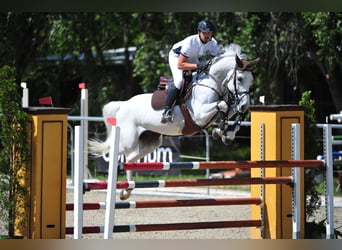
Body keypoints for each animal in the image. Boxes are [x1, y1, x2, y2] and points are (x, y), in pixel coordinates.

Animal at [89, 43, 258, 199]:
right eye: (240, 78)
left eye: (251, 81)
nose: (245, 105)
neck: (212, 84)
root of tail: (123, 105)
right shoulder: (199, 115)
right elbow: (223, 105)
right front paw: (221, 131)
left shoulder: (211, 117)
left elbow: (229, 110)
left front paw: (225, 133)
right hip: (127, 140)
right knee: (114, 153)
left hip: (150, 142)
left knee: (130, 159)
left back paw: (126, 191)